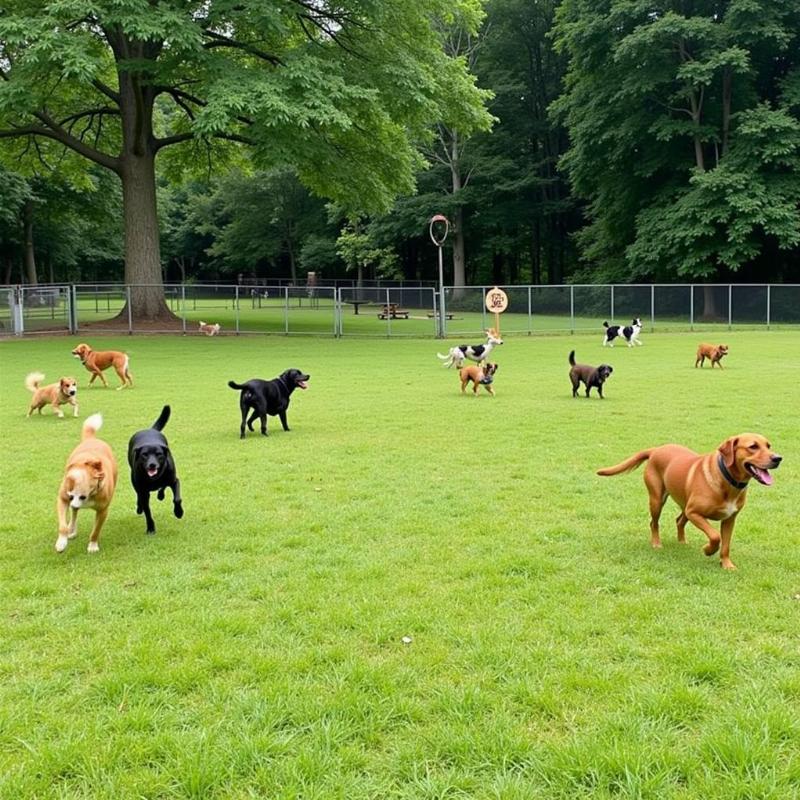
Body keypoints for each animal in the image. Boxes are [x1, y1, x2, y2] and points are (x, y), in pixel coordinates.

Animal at [55, 412, 118, 552]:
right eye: (70, 496)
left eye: (83, 496)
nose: (73, 504)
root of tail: (92, 439)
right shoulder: (63, 499)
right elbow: (62, 526)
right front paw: (61, 542)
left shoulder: (103, 511)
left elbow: (95, 531)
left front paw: (93, 545)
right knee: (74, 514)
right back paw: (71, 530)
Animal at [600, 434, 780, 572]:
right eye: (753, 446)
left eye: (768, 445)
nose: (778, 458)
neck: (728, 480)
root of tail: (656, 449)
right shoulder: (694, 512)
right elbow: (715, 536)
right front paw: (707, 550)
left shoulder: (730, 519)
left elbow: (726, 545)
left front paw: (726, 564)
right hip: (658, 500)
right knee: (654, 523)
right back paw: (656, 543)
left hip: (684, 504)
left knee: (679, 520)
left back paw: (682, 542)